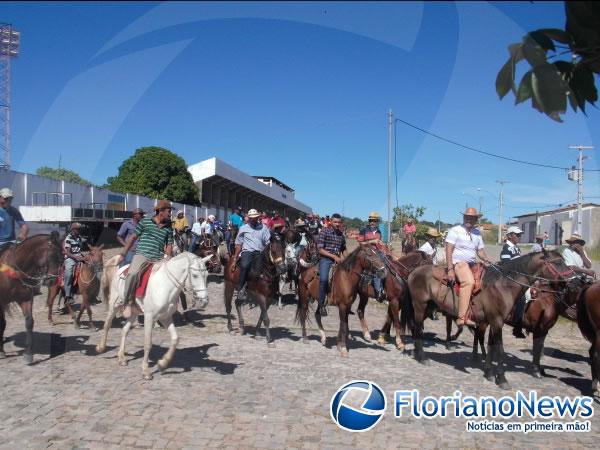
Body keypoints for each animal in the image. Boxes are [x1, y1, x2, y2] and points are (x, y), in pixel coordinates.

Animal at [0, 234, 62, 364]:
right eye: (52, 255)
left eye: (62, 258)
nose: (52, 281)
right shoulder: (1, 302)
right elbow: (2, 324)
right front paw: (1, 351)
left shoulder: (26, 299)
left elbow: (29, 322)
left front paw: (28, 354)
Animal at [400, 250, 576, 390]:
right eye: (558, 263)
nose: (573, 282)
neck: (503, 285)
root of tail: (414, 272)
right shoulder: (498, 321)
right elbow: (501, 350)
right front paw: (502, 379)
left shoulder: (492, 321)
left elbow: (491, 347)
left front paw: (489, 373)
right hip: (420, 306)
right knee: (418, 328)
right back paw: (422, 357)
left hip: (428, 307)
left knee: (417, 328)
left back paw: (416, 353)